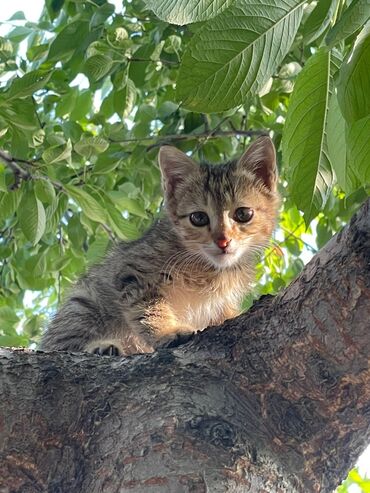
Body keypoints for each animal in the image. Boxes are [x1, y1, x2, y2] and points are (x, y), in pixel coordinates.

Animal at [40, 136, 278, 356]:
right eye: (198, 218)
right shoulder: (134, 272)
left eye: (243, 214)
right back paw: (101, 347)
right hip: (82, 304)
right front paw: (167, 331)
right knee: (60, 343)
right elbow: (147, 309)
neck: (209, 269)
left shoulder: (221, 303)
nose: (223, 241)